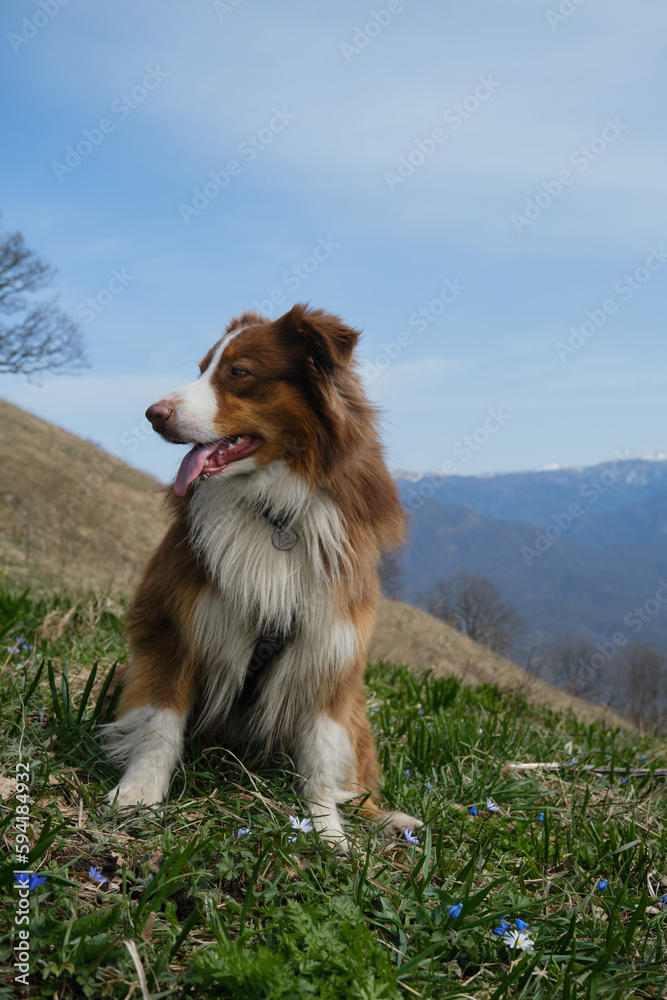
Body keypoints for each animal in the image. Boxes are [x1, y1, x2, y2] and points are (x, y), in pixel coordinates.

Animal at [103, 302, 422, 844]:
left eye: (239, 373)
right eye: (201, 369)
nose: (152, 414)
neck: (273, 512)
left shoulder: (330, 647)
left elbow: (319, 757)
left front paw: (329, 834)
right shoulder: (173, 620)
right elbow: (160, 722)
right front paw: (139, 795)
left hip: (357, 710)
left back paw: (385, 818)